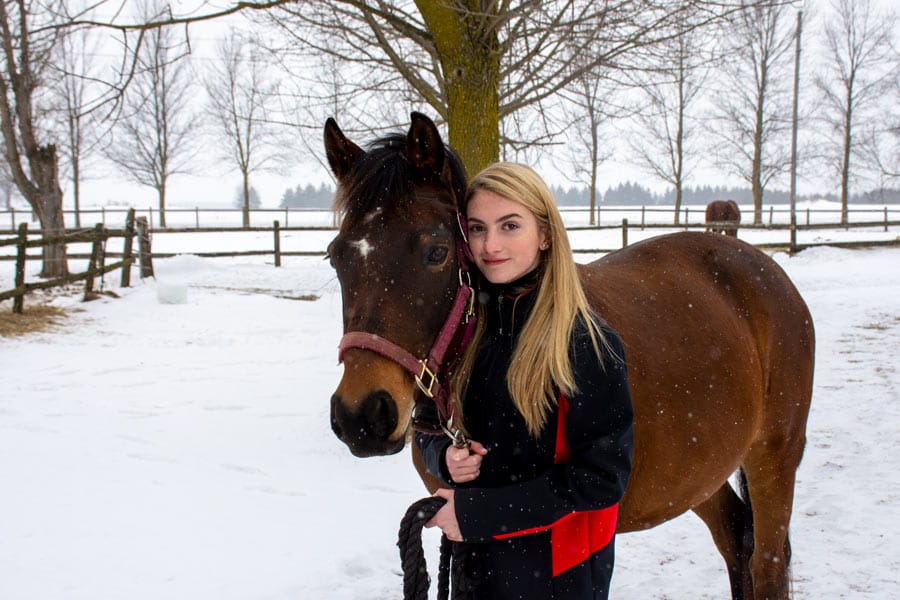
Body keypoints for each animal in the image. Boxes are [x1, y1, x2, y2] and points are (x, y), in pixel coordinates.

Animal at [325, 113, 814, 600]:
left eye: (437, 251)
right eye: (335, 257)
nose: (361, 415)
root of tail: (762, 267)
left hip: (774, 455)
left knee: (766, 561)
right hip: (699, 471)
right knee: (736, 538)